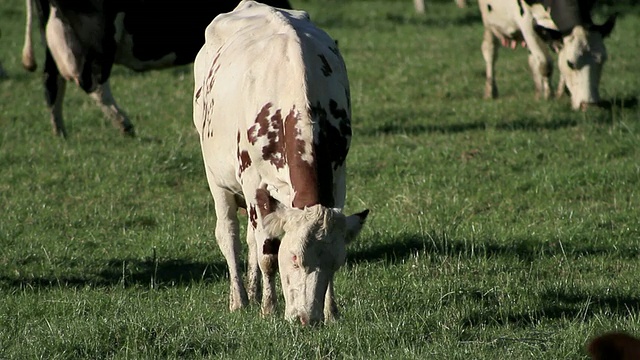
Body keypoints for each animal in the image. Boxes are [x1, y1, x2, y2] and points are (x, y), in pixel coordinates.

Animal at [192, 0, 368, 326]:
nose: (307, 319)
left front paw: (332, 311)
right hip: (217, 178)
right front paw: (268, 308)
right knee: (229, 235)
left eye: (336, 264)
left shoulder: (339, 177)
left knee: (251, 236)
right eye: (295, 257)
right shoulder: (253, 183)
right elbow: (267, 255)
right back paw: (240, 299)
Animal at [480, 0, 616, 109]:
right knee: (490, 51)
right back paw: (490, 91)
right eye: (570, 63)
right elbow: (546, 64)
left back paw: (538, 92)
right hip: (488, 21)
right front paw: (548, 95)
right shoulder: (526, 20)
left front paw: (561, 94)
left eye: (603, 60)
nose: (590, 105)